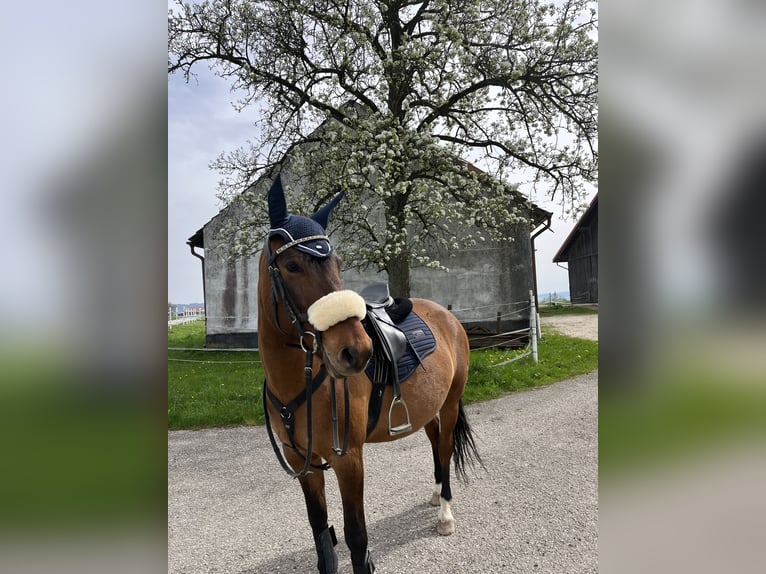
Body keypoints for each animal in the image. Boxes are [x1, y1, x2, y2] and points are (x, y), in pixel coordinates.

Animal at [260, 177, 484, 574]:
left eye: (337, 262)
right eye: (291, 264)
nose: (356, 350)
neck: (299, 382)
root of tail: (448, 317)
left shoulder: (349, 460)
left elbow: (356, 537)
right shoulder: (304, 465)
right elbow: (321, 535)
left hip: (451, 403)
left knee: (444, 450)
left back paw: (444, 512)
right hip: (428, 408)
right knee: (434, 443)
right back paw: (434, 494)